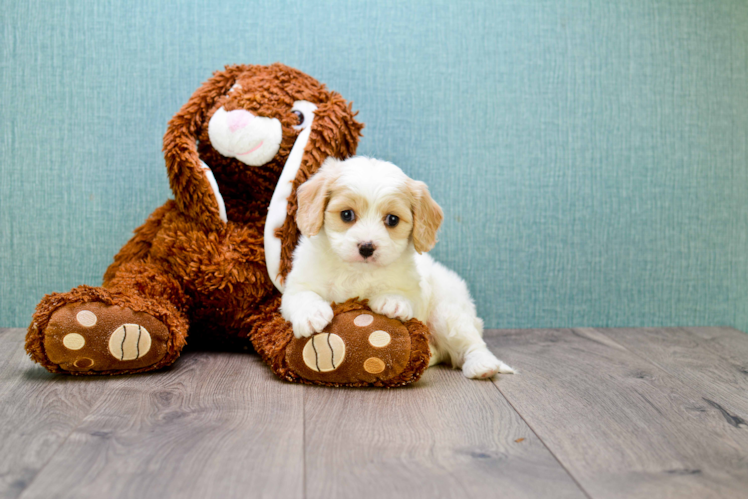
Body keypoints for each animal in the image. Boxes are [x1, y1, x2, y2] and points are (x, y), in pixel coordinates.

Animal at [280, 156, 516, 378]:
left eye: (392, 219)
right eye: (346, 214)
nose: (367, 247)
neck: (358, 272)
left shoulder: (415, 287)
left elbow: (404, 294)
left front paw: (392, 301)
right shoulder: (298, 283)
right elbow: (302, 295)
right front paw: (311, 315)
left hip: (448, 314)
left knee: (471, 344)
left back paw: (482, 365)